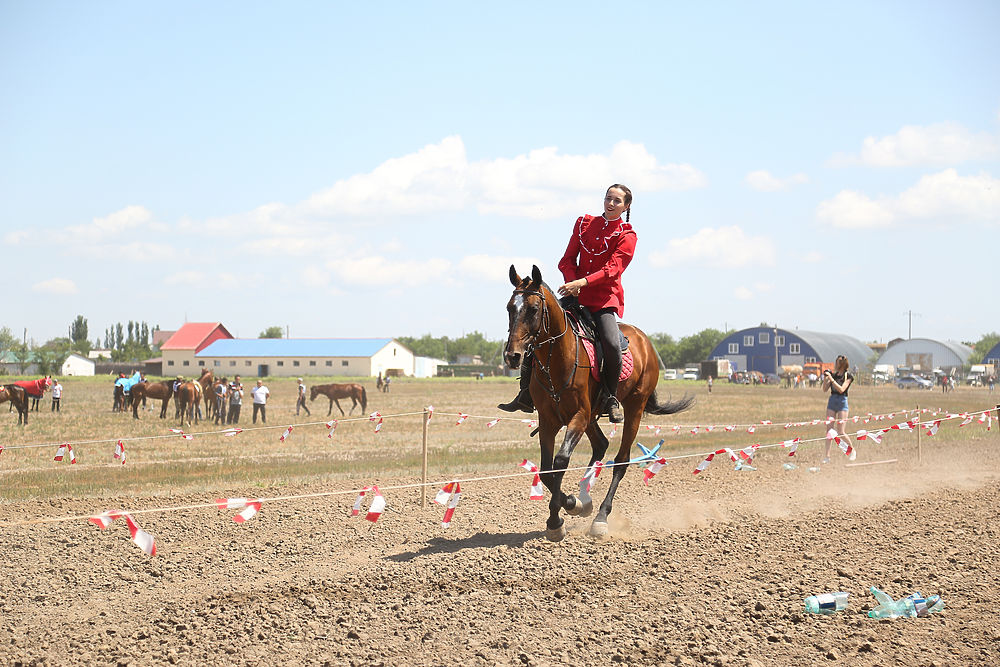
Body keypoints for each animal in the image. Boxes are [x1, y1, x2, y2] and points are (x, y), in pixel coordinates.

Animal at [504, 266, 692, 544]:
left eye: (533, 309)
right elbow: (547, 470)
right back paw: (585, 498)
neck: (558, 358)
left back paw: (601, 517)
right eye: (509, 308)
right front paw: (572, 506)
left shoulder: (578, 416)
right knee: (601, 445)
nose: (512, 356)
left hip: (632, 408)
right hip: (592, 416)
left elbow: (561, 461)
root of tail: (645, 340)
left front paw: (558, 517)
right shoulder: (548, 420)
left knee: (621, 460)